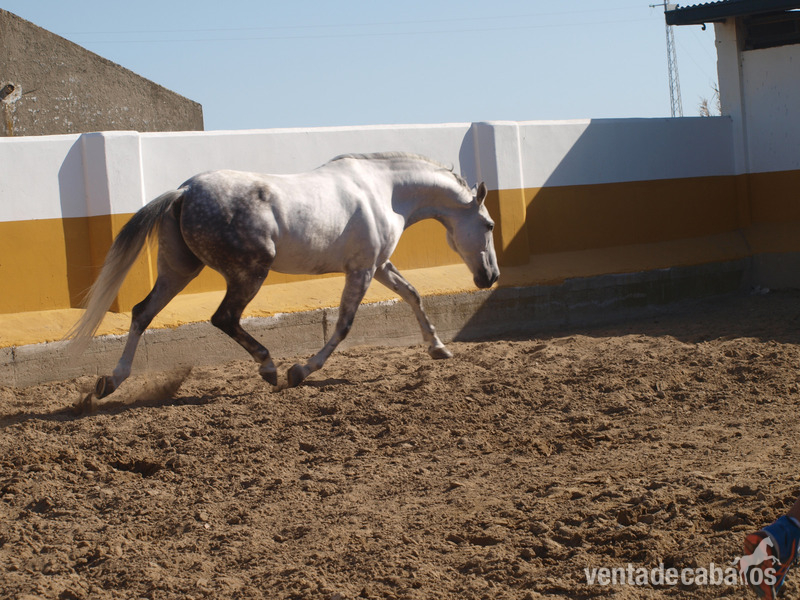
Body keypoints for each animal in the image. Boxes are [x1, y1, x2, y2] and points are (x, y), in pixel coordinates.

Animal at [68, 152, 500, 398]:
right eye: (490, 225)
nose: (490, 277)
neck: (385, 192)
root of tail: (184, 192)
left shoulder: (378, 265)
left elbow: (413, 295)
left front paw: (439, 348)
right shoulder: (361, 270)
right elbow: (344, 325)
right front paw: (299, 371)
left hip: (179, 270)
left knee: (143, 312)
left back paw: (110, 382)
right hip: (249, 272)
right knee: (223, 317)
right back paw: (270, 368)